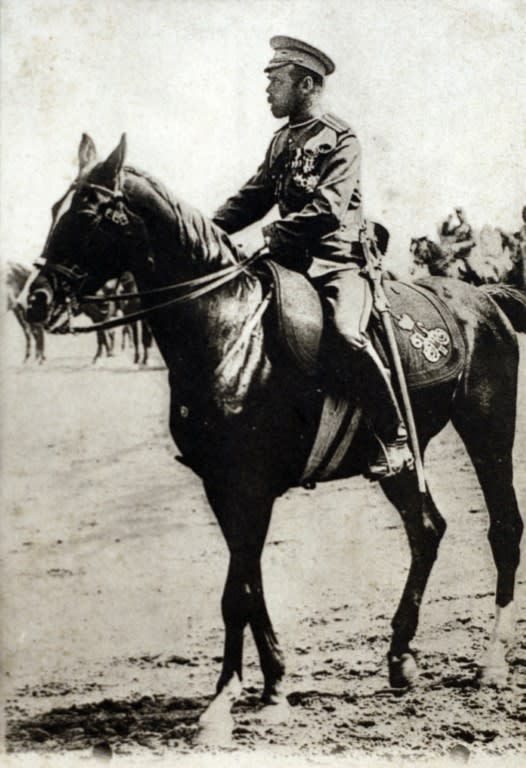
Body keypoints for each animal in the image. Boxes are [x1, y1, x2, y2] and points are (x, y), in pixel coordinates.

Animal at [24, 136, 526, 744]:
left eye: (90, 212)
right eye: (57, 208)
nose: (34, 300)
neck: (228, 331)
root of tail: (486, 299)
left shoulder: (250, 485)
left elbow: (235, 592)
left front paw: (221, 704)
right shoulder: (223, 487)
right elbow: (251, 583)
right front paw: (273, 688)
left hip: (489, 430)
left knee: (504, 528)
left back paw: (492, 660)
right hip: (403, 458)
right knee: (427, 530)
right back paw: (400, 657)